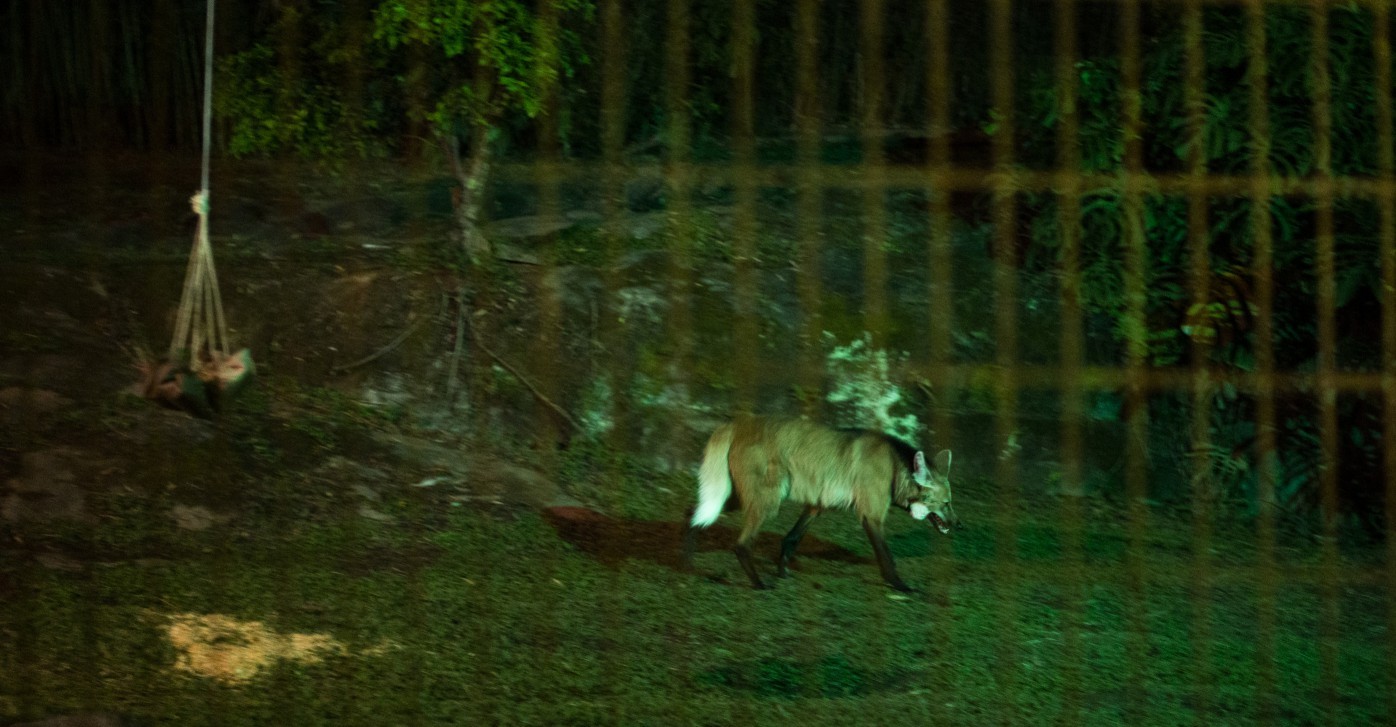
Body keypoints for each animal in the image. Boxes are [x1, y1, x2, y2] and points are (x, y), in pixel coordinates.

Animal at [678, 413, 960, 588]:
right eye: (946, 503)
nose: (959, 524)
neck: (893, 468)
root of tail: (738, 423)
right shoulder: (871, 515)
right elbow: (887, 556)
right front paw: (901, 586)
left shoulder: (817, 505)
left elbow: (791, 539)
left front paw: (783, 572)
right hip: (768, 499)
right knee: (740, 544)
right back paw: (758, 584)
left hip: (738, 495)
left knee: (693, 510)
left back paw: (687, 563)